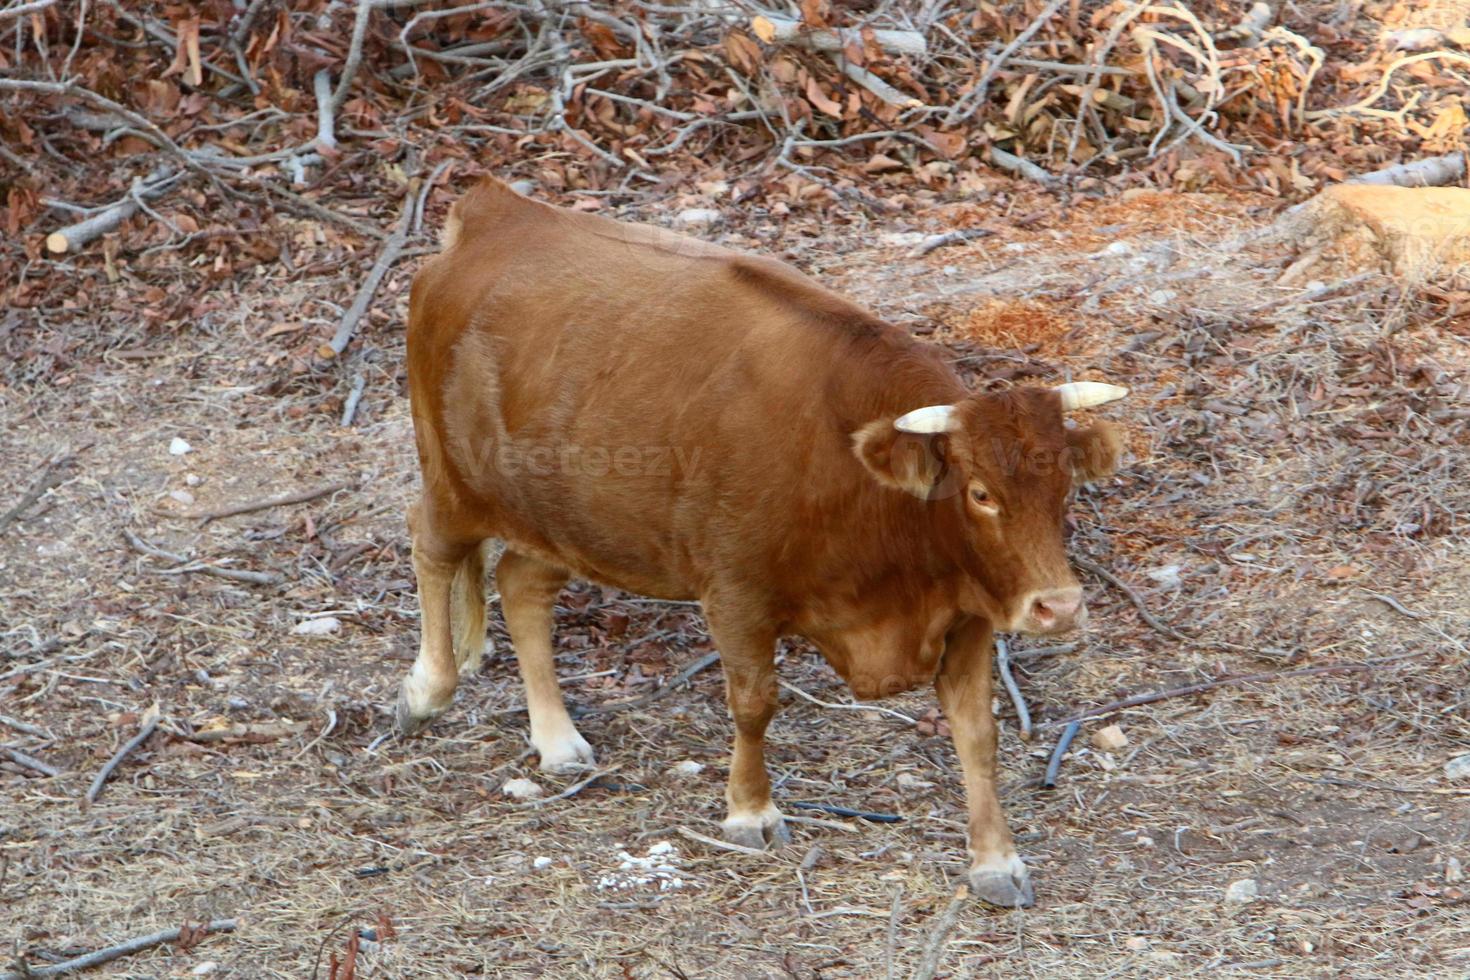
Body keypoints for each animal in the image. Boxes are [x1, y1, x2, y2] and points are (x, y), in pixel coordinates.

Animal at [391, 178, 1123, 910]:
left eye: (1065, 485)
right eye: (979, 493)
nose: (1058, 607)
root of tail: (497, 212)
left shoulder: (967, 608)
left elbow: (977, 731)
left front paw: (996, 859)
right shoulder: (737, 595)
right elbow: (754, 703)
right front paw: (750, 810)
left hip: (565, 521)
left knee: (520, 584)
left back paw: (558, 739)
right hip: (455, 481)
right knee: (430, 544)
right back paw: (427, 688)